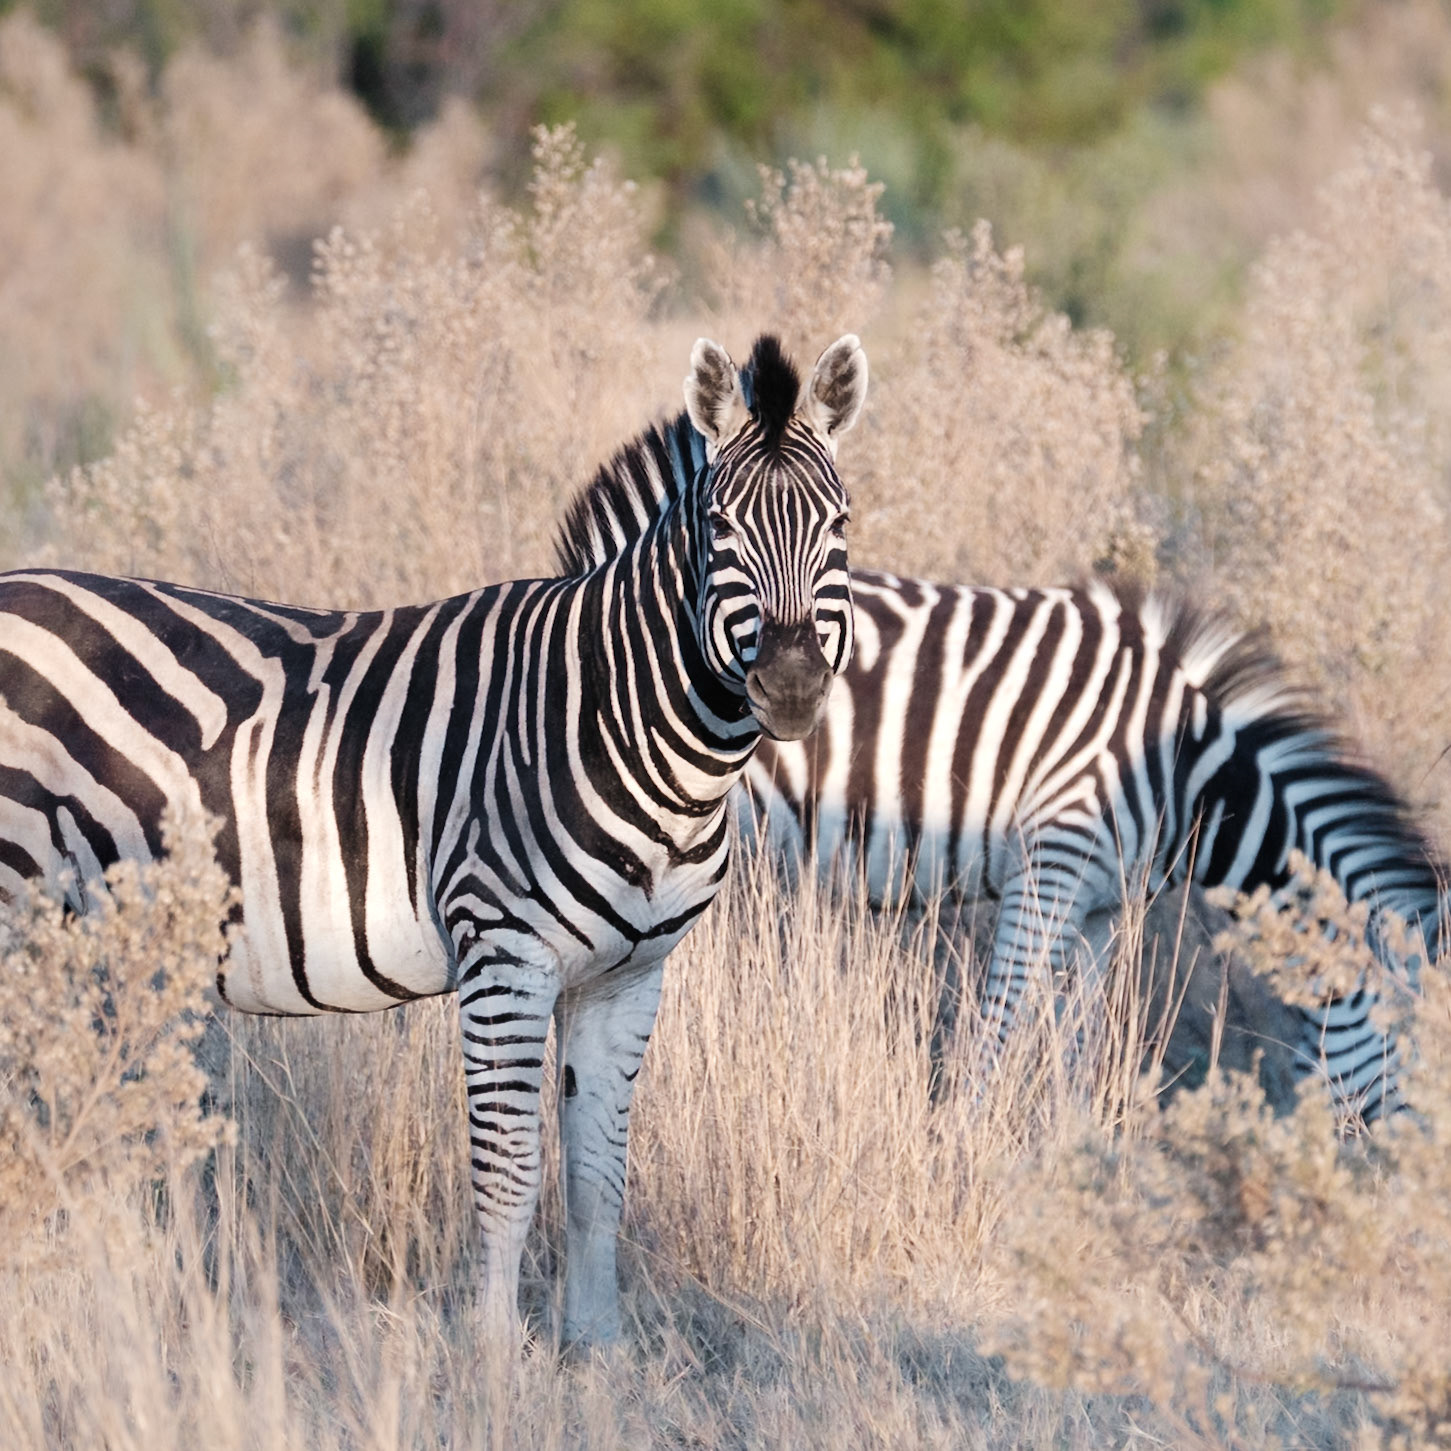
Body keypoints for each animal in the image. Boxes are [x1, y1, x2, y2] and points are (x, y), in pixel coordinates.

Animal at [0, 331, 868, 1349]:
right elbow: (510, 1172)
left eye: (840, 525)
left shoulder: (628, 975)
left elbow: (597, 1174)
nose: (791, 687)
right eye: (720, 529)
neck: (610, 715)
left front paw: (598, 1348)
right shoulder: (504, 955)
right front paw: (493, 1353)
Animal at [740, 572, 1443, 1120]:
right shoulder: (1050, 868)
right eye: (1424, 1051)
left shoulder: (1102, 905)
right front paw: (961, 1159)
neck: (1184, 768)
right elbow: (996, 1040)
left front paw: (1071, 1166)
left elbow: (1077, 1052)